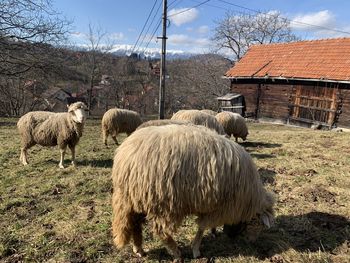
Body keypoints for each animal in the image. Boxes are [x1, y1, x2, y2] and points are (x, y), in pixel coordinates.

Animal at [110, 125, 274, 260]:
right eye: (258, 224)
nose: (252, 242)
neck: (248, 198)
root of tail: (124, 156)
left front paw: (213, 233)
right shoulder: (219, 208)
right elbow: (201, 228)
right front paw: (196, 249)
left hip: (135, 198)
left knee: (135, 224)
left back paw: (139, 249)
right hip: (163, 203)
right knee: (160, 231)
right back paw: (176, 252)